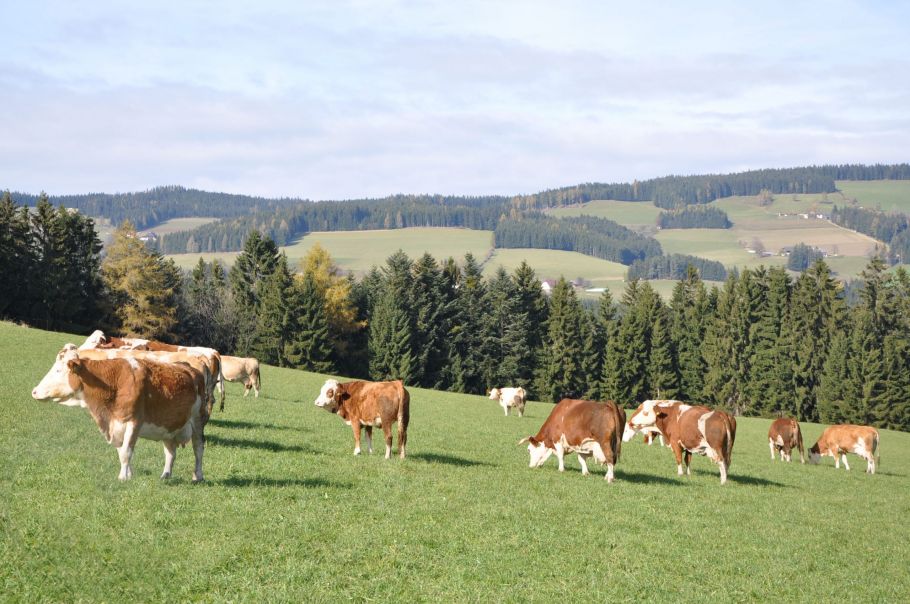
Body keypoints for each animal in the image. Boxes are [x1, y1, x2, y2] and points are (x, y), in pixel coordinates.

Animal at [32, 346, 209, 481]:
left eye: (58, 370)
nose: (34, 391)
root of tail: (190, 368)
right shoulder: (115, 426)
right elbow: (121, 452)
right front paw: (128, 475)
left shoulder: (134, 422)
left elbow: (126, 452)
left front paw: (123, 477)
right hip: (168, 428)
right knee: (170, 451)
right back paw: (165, 475)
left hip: (198, 419)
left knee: (198, 448)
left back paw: (198, 476)